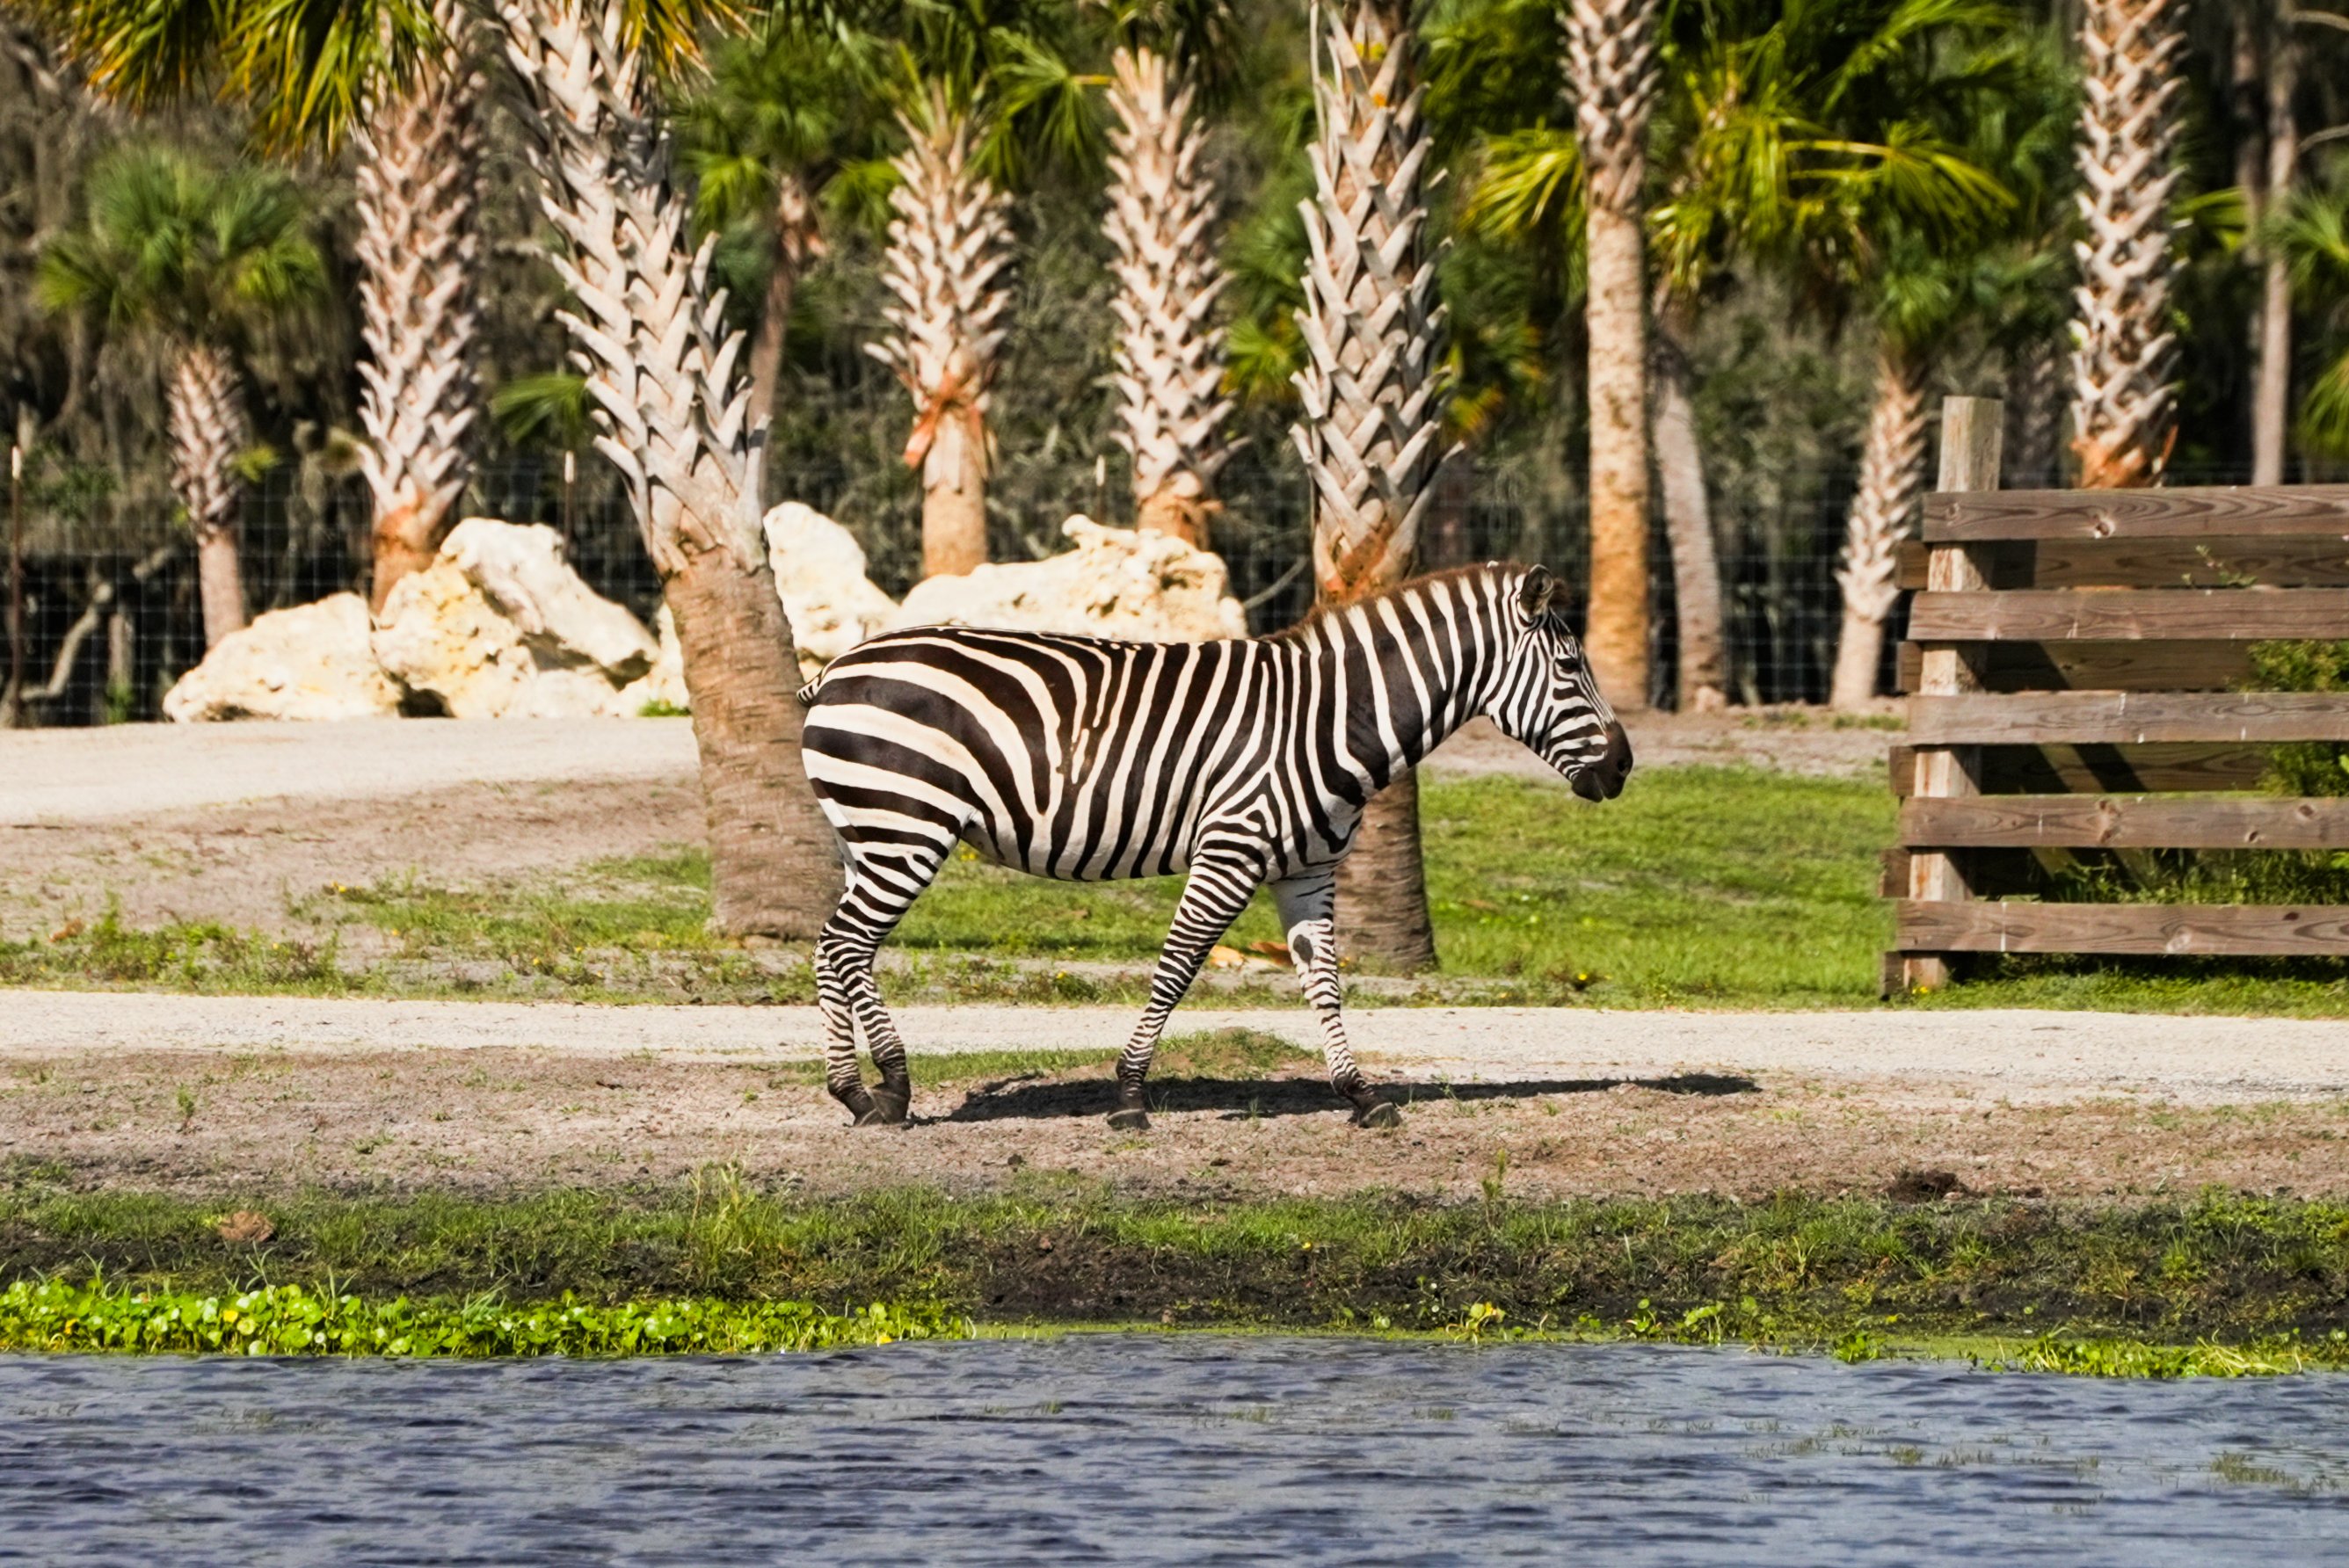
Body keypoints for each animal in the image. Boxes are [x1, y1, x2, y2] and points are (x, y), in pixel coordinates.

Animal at [796, 559, 1633, 1131]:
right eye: (1570, 668)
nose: (1624, 767)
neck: (1330, 717)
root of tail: (835, 668)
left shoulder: (1309, 869)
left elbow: (1325, 982)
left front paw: (1360, 1094)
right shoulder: (1231, 849)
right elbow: (1177, 970)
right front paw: (1130, 1095)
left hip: (870, 834)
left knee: (837, 950)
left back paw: (864, 1092)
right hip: (907, 828)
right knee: (844, 945)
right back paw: (882, 1089)